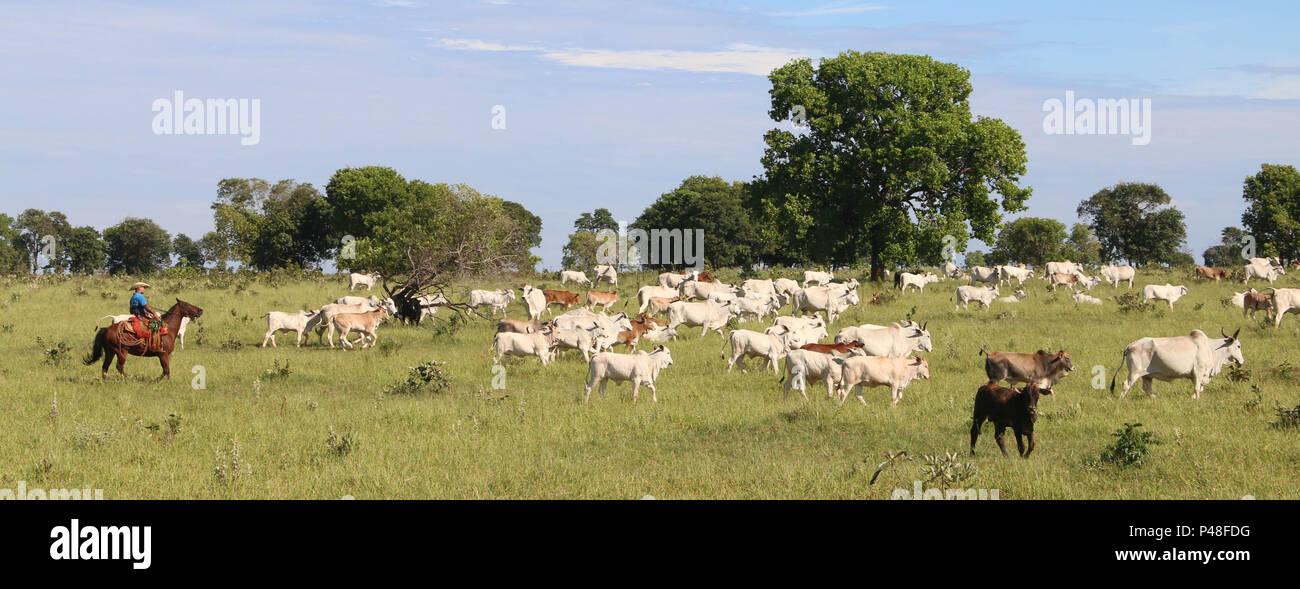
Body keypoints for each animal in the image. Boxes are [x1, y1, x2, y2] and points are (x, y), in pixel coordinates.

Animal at [1112, 326, 1242, 400]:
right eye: (1238, 346)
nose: (1242, 361)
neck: (1210, 348)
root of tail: (1129, 346)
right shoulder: (1198, 372)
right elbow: (1197, 388)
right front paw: (1196, 399)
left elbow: (1200, 388)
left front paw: (1193, 397)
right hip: (1135, 373)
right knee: (1126, 385)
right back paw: (1121, 400)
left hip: (1147, 375)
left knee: (1146, 387)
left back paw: (1156, 398)